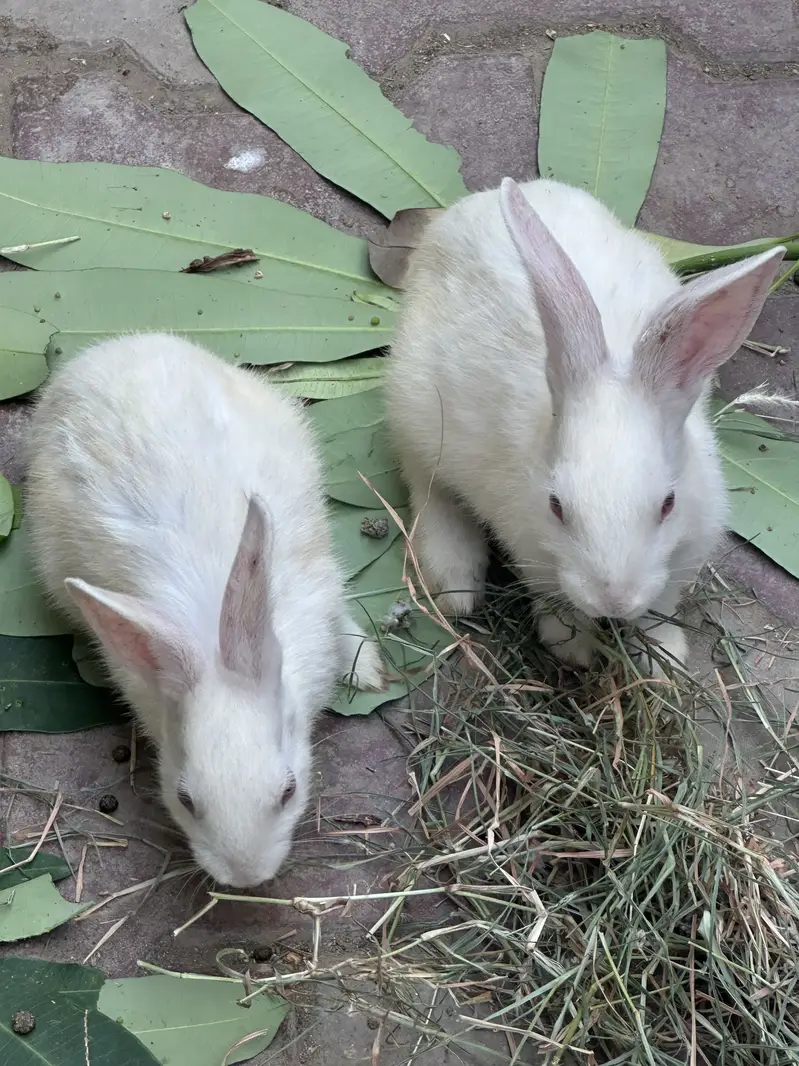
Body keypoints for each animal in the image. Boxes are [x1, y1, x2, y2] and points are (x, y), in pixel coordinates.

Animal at [385, 177, 785, 673]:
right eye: (557, 506)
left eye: (668, 504)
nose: (613, 600)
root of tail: (466, 209)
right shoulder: (534, 551)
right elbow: (558, 605)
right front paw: (575, 651)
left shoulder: (684, 553)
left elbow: (659, 610)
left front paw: (664, 659)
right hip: (416, 408)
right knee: (427, 485)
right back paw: (455, 584)